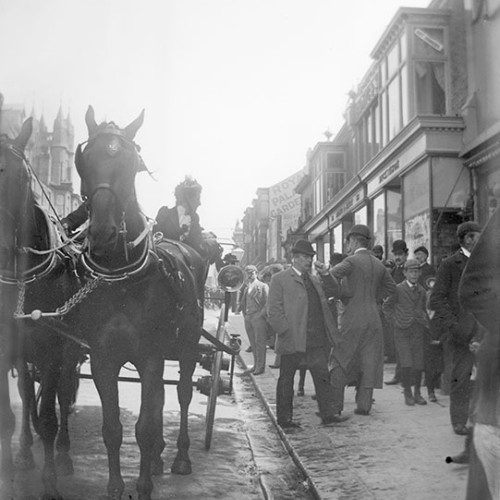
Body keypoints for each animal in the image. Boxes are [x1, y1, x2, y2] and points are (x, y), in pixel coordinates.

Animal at [71, 106, 206, 500]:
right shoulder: (102, 358)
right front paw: (117, 485)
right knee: (159, 398)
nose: (102, 234)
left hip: (187, 345)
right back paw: (159, 459)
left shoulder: (150, 354)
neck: (121, 278)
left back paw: (179, 457)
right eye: (85, 158)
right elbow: (113, 427)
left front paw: (143, 484)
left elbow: (144, 426)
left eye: (131, 161)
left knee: (182, 393)